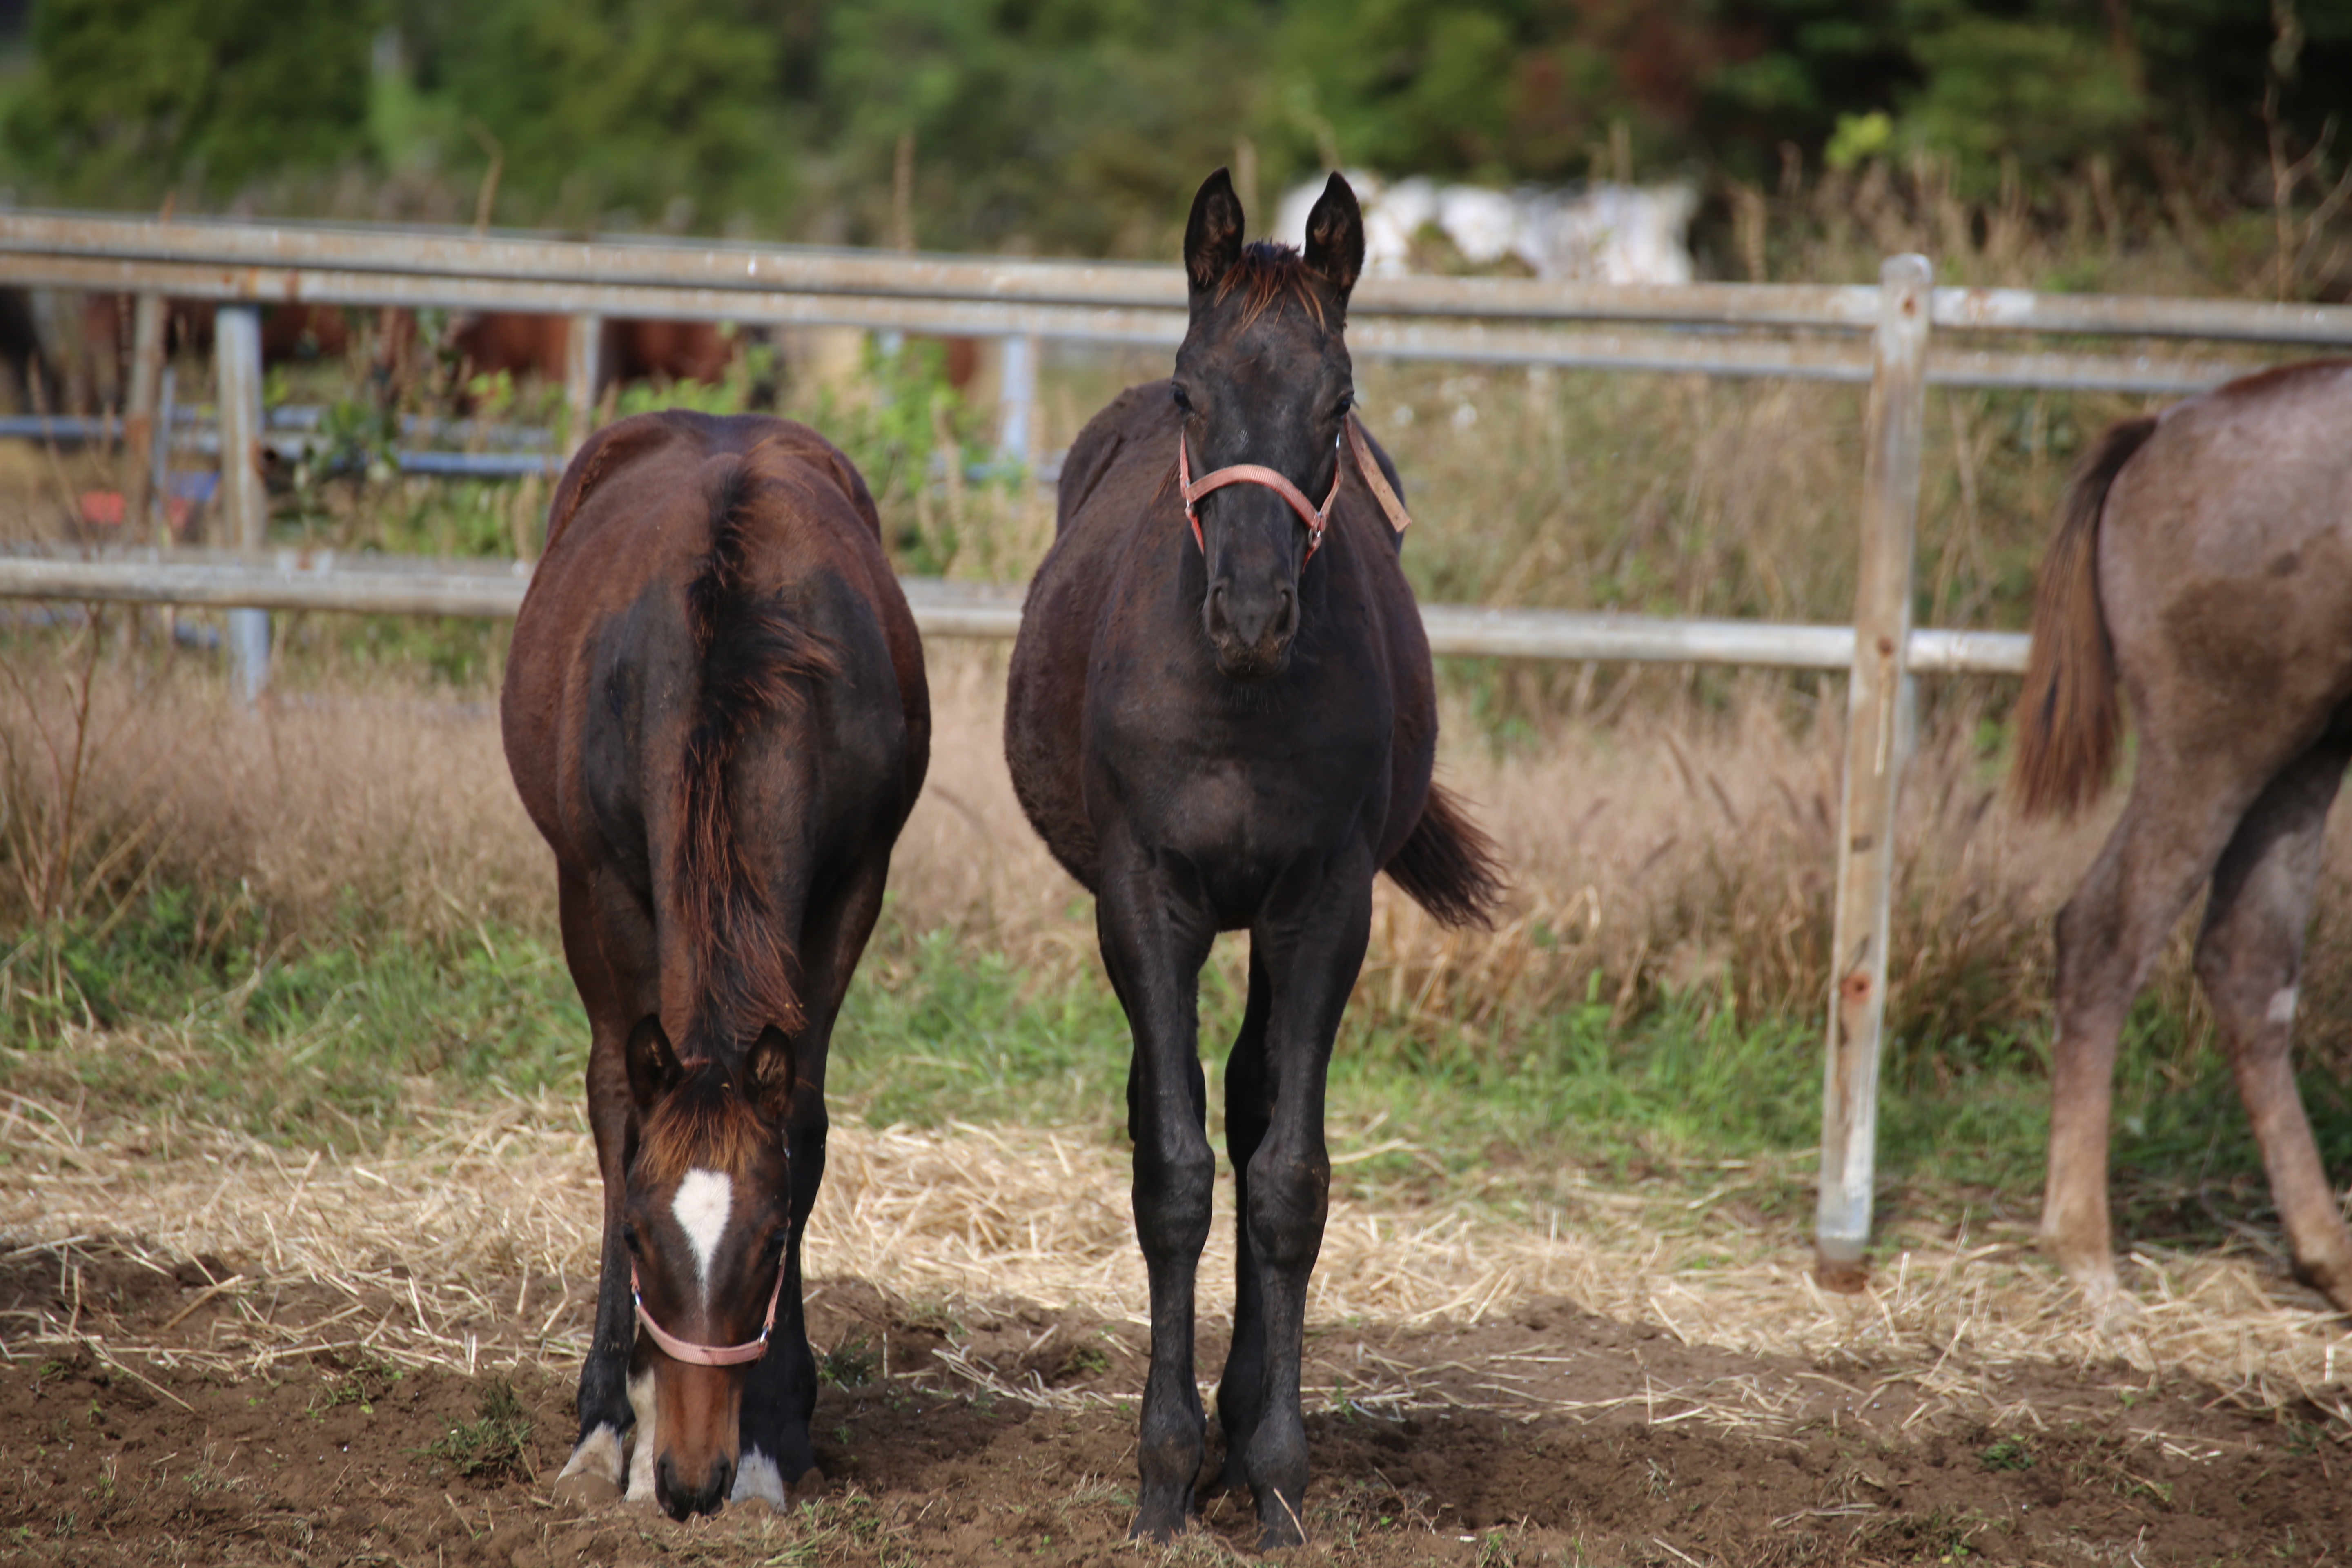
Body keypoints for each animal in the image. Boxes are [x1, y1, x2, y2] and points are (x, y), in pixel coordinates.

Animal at [501, 411, 922, 1514]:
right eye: (639, 1240)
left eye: (772, 1243)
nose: (692, 1478)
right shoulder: (607, 885)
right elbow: (623, 1114)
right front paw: (616, 1424)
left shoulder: (854, 885)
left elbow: (804, 1118)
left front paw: (775, 1432)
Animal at [2004, 355, 2352, 1316]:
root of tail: (2161, 431)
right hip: (2223, 743)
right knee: (2107, 933)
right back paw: (2086, 1253)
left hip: (2305, 753)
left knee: (2248, 966)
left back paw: (2327, 1255)